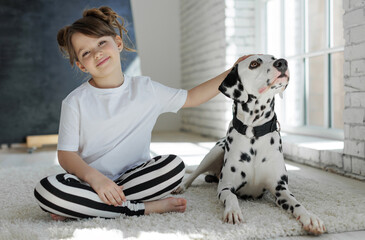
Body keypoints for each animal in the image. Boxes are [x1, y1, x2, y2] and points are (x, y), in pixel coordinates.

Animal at [173, 54, 324, 234]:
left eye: (273, 57)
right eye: (254, 64)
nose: (282, 62)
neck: (254, 134)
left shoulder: (280, 188)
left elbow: (296, 203)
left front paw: (310, 217)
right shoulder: (225, 186)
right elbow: (231, 197)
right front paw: (233, 212)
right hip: (214, 153)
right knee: (194, 173)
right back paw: (181, 186)